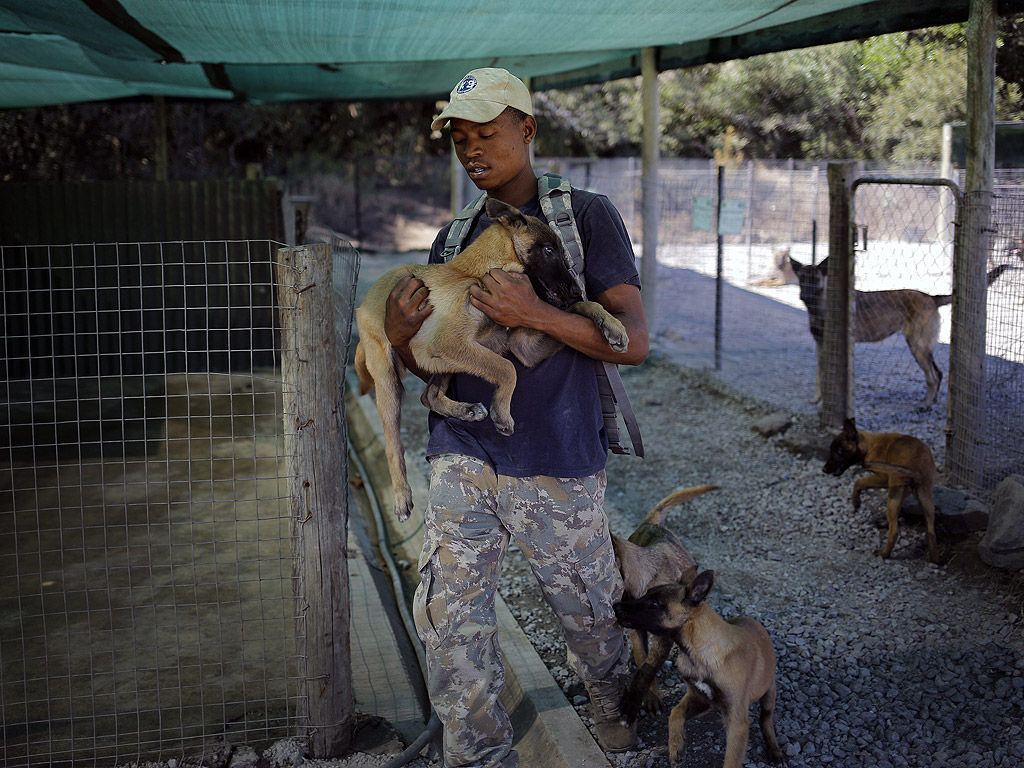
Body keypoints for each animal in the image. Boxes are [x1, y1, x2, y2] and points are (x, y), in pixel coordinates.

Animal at [356, 198, 626, 524]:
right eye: (549, 250)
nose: (576, 289)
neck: (481, 273)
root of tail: (364, 300)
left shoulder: (523, 345)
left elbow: (578, 309)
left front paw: (613, 325)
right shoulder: (449, 342)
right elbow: (507, 369)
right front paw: (503, 412)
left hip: (444, 364)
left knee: (428, 395)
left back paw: (466, 410)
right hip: (389, 376)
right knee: (392, 442)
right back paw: (401, 496)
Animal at [610, 487, 716, 716]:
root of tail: (649, 524)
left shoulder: (663, 637)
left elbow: (649, 667)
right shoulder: (635, 628)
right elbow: (643, 658)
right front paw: (650, 696)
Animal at [610, 573, 778, 768]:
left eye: (655, 604)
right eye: (645, 595)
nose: (616, 606)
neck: (700, 653)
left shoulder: (738, 722)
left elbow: (731, 760)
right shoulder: (699, 699)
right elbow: (675, 713)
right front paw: (676, 746)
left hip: (769, 693)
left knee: (766, 719)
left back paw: (775, 749)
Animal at [819, 417, 937, 561]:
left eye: (839, 452)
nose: (824, 469)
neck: (870, 445)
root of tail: (916, 472)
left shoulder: (882, 477)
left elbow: (859, 482)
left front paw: (856, 502)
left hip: (894, 493)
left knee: (894, 531)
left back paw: (884, 554)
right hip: (924, 499)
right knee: (930, 532)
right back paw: (935, 559)